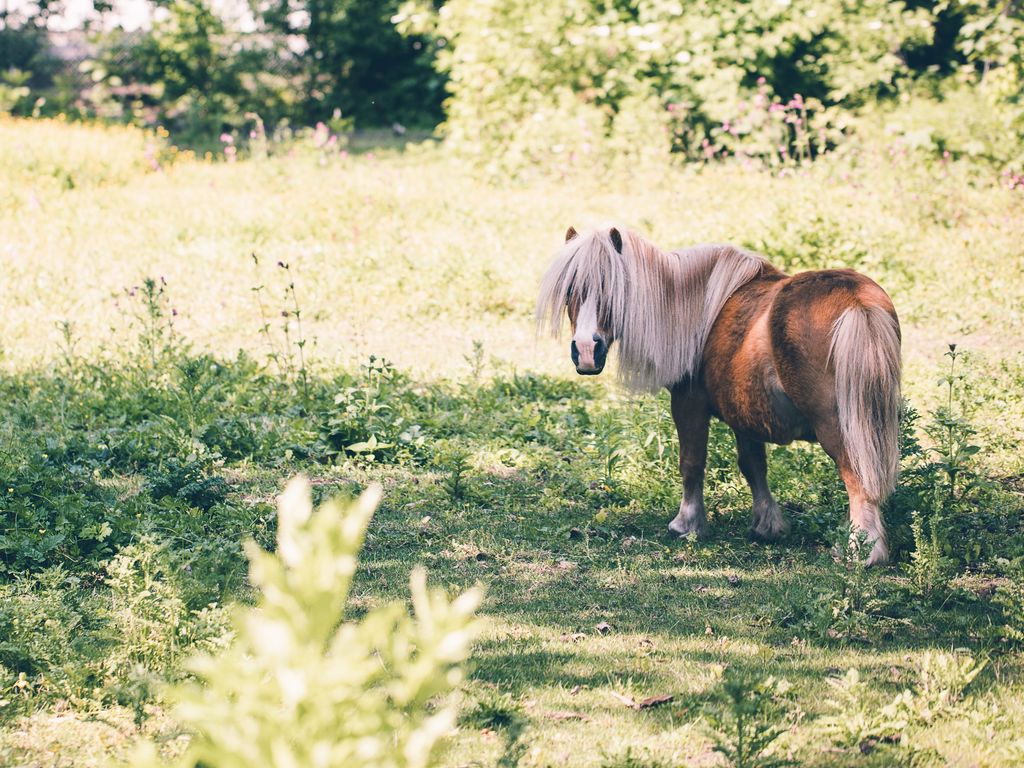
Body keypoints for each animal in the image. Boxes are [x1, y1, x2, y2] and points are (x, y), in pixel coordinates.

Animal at [540, 222, 901, 565]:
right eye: (571, 289)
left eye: (611, 287)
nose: (586, 351)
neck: (693, 308)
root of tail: (855, 300)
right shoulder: (746, 415)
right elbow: (753, 465)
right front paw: (767, 525)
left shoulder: (688, 404)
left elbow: (691, 462)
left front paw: (687, 524)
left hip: (838, 427)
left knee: (858, 478)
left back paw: (863, 550)